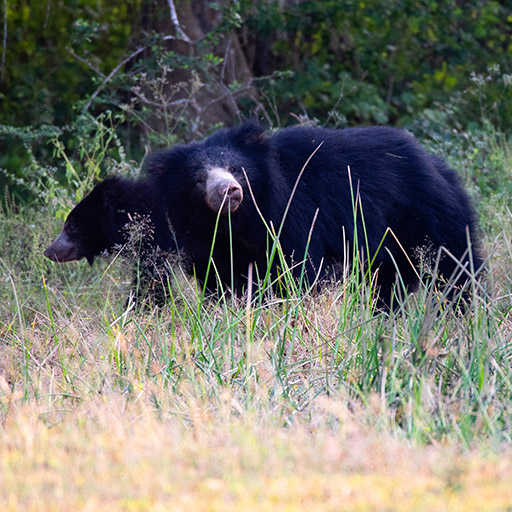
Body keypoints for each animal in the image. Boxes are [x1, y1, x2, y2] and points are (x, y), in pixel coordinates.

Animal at [43, 123, 480, 308]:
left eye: (235, 170)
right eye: (200, 179)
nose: (50, 250)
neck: (237, 222)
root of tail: (440, 167)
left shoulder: (294, 215)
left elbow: (298, 269)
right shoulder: (210, 245)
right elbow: (221, 280)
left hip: (427, 217)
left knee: (456, 269)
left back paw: (464, 313)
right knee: (391, 283)